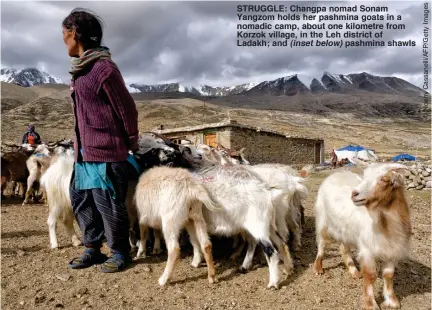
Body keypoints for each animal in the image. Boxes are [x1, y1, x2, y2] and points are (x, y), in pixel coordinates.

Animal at [312, 160, 410, 310]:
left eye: (384, 179)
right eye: (364, 176)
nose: (354, 194)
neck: (385, 224)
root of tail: (337, 173)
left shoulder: (392, 249)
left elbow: (388, 275)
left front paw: (392, 301)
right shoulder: (367, 249)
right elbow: (371, 275)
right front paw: (371, 304)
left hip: (345, 230)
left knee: (344, 249)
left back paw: (354, 272)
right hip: (323, 221)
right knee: (322, 244)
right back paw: (318, 268)